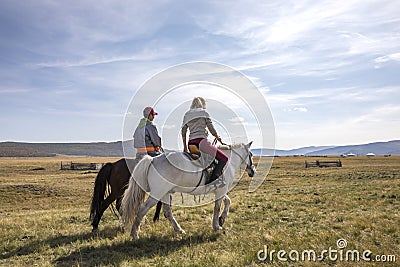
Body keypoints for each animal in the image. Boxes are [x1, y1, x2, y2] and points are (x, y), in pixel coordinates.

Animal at [120, 141, 255, 240]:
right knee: (143, 208)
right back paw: (134, 234)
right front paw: (217, 225)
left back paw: (179, 229)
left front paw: (222, 219)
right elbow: (217, 207)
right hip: (157, 194)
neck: (229, 163)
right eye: (251, 155)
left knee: (167, 211)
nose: (253, 172)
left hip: (165, 193)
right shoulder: (221, 191)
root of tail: (153, 160)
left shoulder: (220, 191)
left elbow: (228, 201)